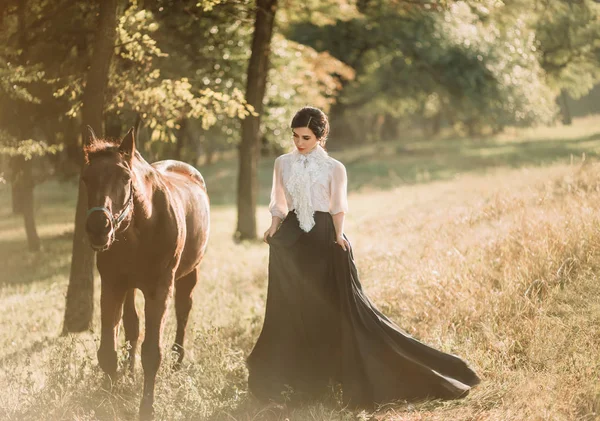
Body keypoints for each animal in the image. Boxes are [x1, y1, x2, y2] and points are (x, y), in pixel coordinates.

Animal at [81, 128, 210, 420]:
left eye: (125, 177)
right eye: (85, 178)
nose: (98, 228)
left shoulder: (159, 289)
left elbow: (152, 353)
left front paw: (146, 408)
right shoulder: (113, 286)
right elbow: (108, 352)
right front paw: (110, 401)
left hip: (189, 275)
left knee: (183, 311)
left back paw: (177, 362)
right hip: (130, 287)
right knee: (132, 326)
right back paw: (130, 373)